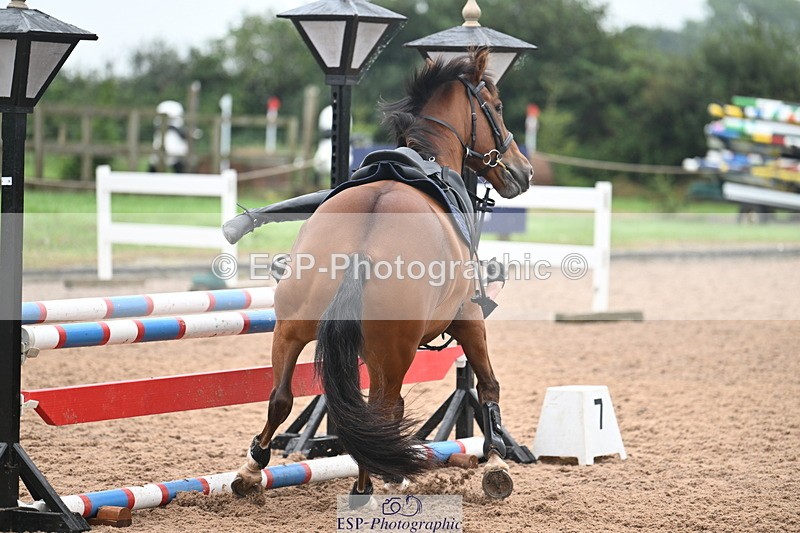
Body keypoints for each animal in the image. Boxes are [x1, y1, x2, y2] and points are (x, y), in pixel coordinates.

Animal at [232, 48, 534, 502]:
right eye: (496, 107)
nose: (523, 170)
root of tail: (363, 243)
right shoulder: (468, 317)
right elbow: (488, 385)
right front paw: (496, 461)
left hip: (292, 330)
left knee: (282, 398)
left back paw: (253, 471)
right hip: (393, 352)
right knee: (379, 410)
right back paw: (367, 487)